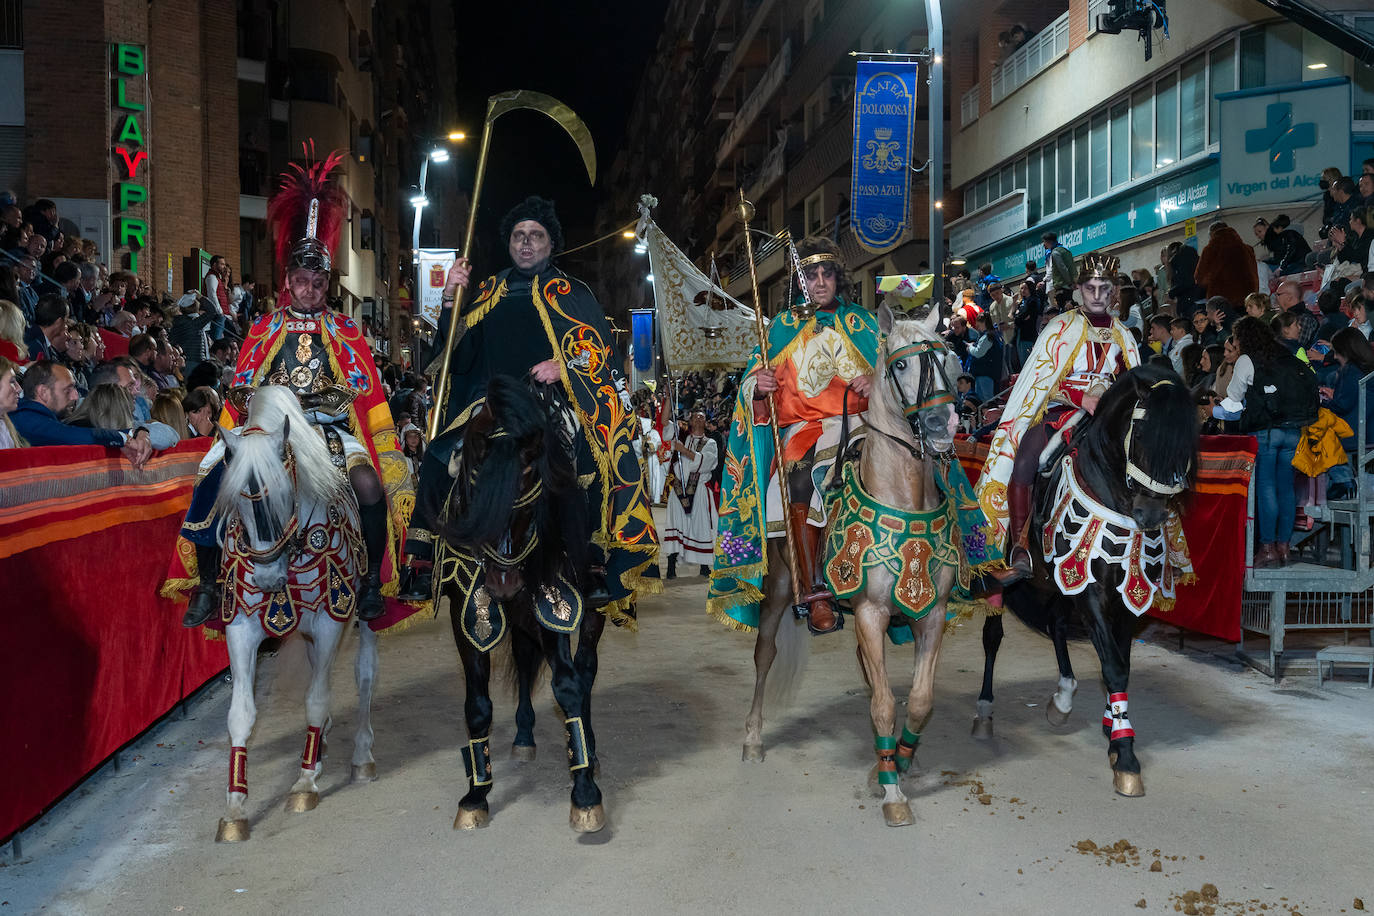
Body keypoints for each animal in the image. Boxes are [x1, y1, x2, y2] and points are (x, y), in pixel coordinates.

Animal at [211, 384, 381, 840]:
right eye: (236, 503)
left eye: (285, 493)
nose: (269, 579)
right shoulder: (241, 625)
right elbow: (240, 714)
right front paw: (235, 807)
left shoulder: (329, 621)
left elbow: (317, 698)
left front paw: (304, 783)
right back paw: (320, 748)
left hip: (363, 615)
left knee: (364, 673)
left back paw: (360, 756)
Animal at [436, 376, 610, 834]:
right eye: (476, 491)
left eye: (530, 495)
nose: (503, 583)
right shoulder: (468, 615)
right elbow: (477, 706)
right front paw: (476, 795)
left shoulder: (557, 607)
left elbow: (568, 687)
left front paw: (585, 792)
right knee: (524, 658)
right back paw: (524, 737)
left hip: (590, 613)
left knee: (585, 671)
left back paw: (591, 748)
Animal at [741, 304, 978, 829]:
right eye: (900, 364)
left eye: (949, 357)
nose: (940, 423)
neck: (903, 495)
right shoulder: (870, 611)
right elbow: (885, 704)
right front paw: (892, 792)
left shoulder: (930, 614)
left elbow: (918, 700)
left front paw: (895, 764)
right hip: (781, 584)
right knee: (765, 655)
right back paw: (752, 738)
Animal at [972, 365, 1198, 796]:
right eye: (1140, 434)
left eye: (1187, 443)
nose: (1150, 516)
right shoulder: (1092, 591)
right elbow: (1112, 664)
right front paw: (1125, 756)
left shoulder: (1124, 593)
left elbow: (1121, 663)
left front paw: (1114, 725)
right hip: (1009, 573)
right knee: (993, 638)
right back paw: (985, 712)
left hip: (1058, 580)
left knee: (1056, 624)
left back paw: (1063, 696)